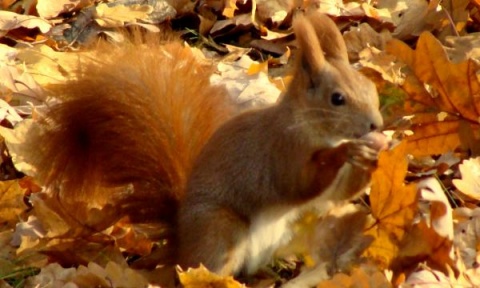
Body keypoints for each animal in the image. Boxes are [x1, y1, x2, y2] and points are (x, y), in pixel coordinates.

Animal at [27, 12, 386, 280]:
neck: (313, 127)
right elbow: (300, 182)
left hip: (296, 228)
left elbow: (341, 193)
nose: (376, 125)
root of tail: (182, 247)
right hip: (219, 229)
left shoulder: (331, 187)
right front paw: (345, 152)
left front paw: (375, 154)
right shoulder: (281, 151)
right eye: (337, 99)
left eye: (369, 87)